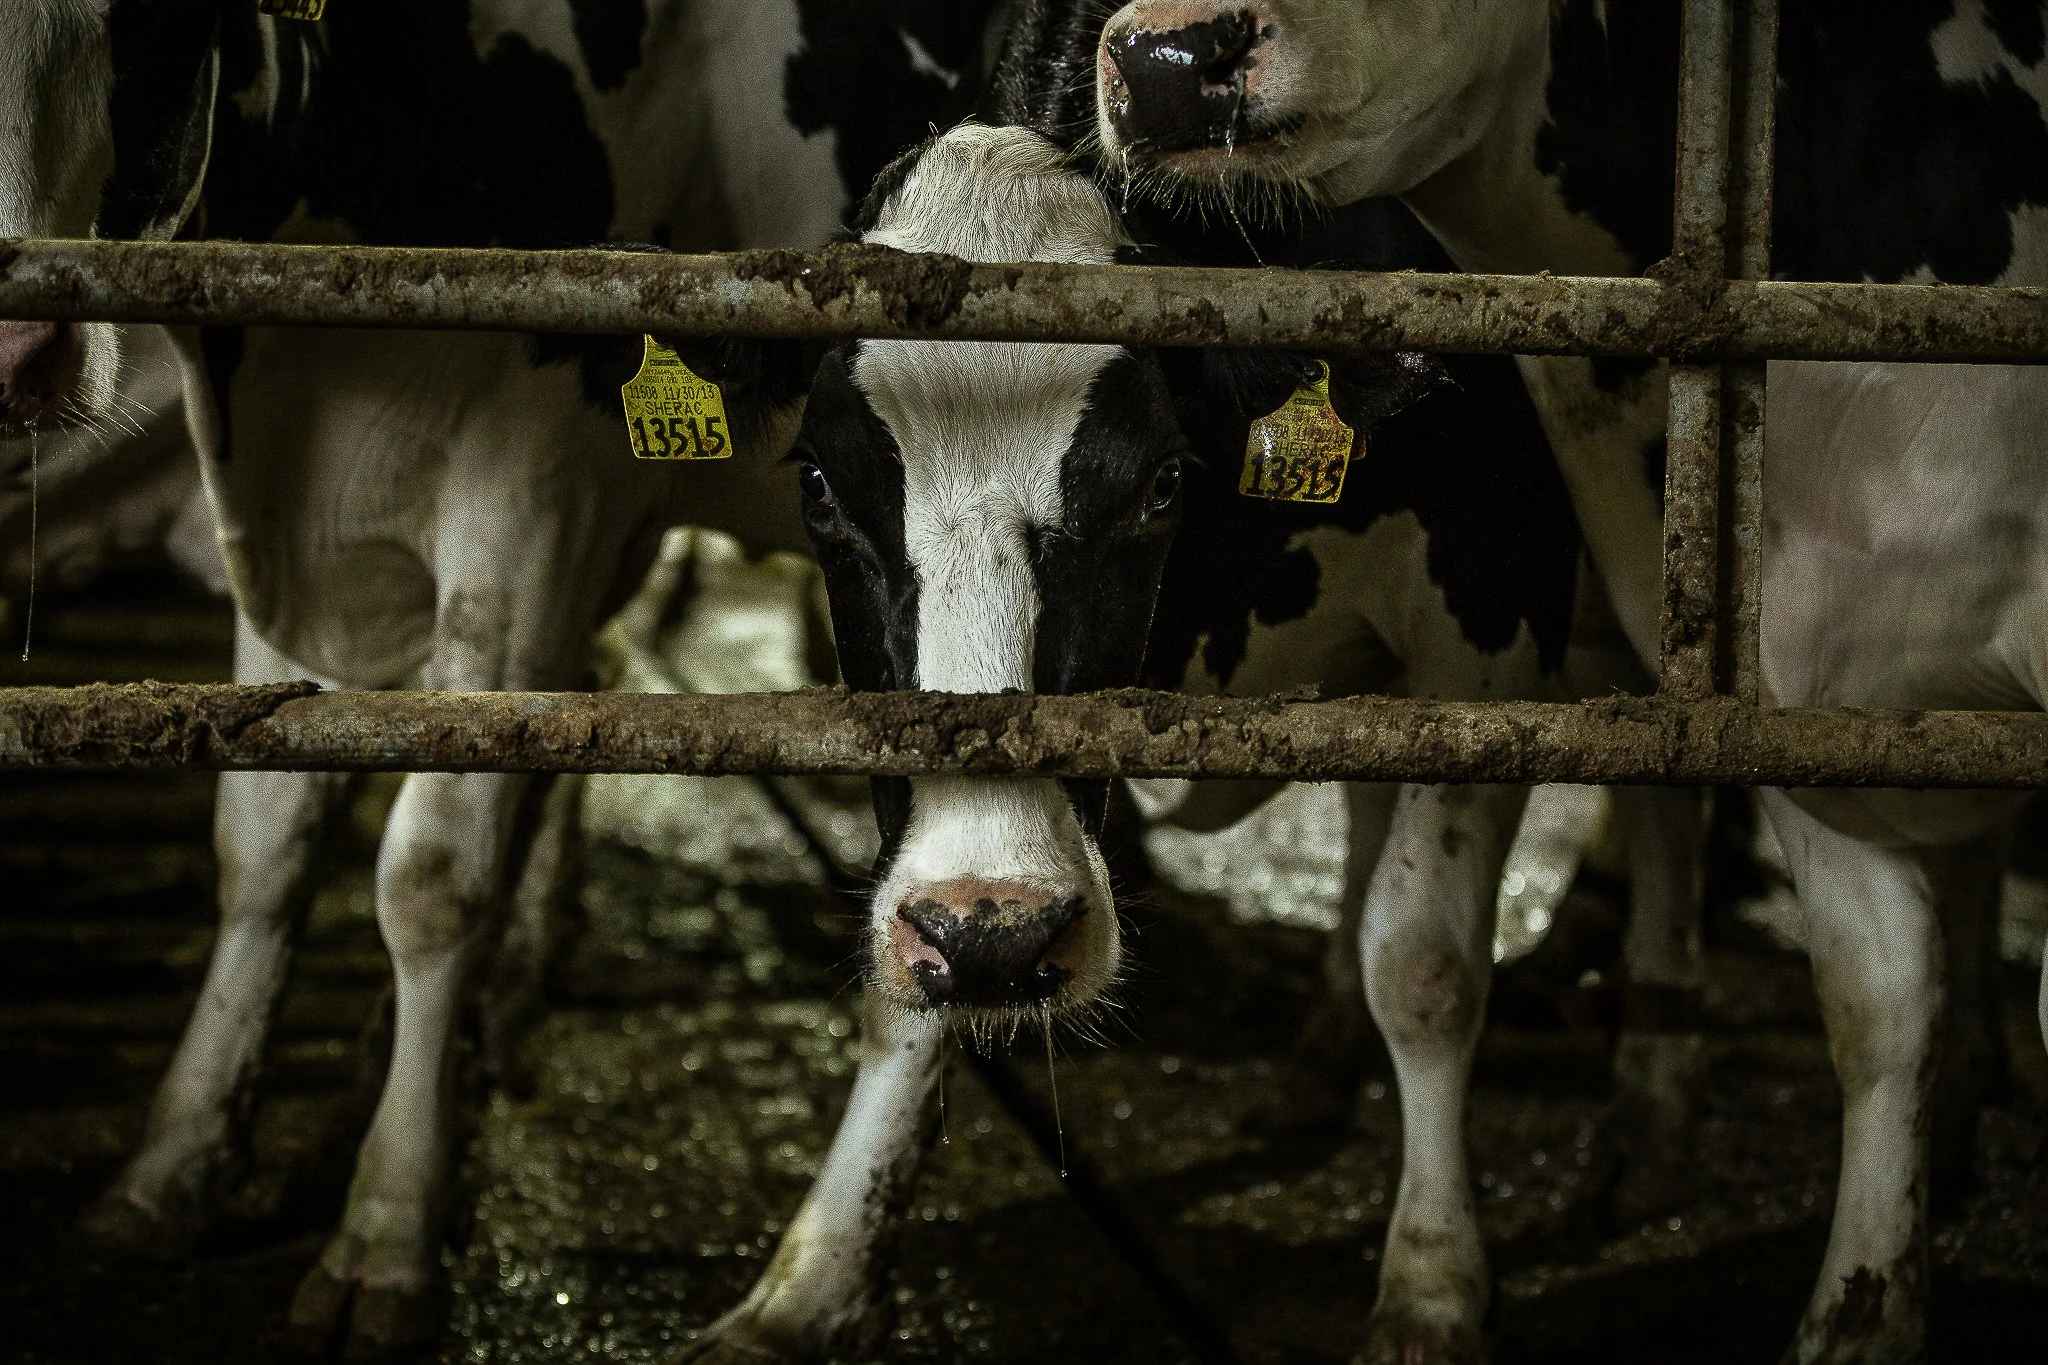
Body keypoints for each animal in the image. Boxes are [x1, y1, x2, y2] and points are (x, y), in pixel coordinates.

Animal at [0, 0, 1000, 1352]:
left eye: (147, 23)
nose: (15, 345)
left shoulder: (537, 494)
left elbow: (433, 875)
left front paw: (386, 1231)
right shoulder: (299, 539)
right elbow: (262, 844)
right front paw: (177, 1163)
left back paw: (807, 1295)